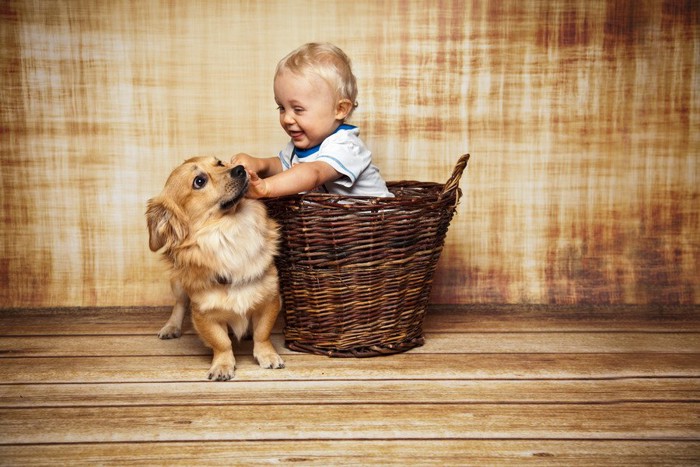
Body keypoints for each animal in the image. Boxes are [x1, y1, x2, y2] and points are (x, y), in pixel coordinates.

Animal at [145, 155, 284, 382]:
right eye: (199, 181)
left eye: (220, 163)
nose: (240, 168)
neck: (230, 231)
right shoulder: (204, 314)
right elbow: (221, 342)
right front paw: (223, 365)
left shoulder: (269, 299)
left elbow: (262, 333)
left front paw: (267, 355)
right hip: (178, 285)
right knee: (179, 304)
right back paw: (171, 327)